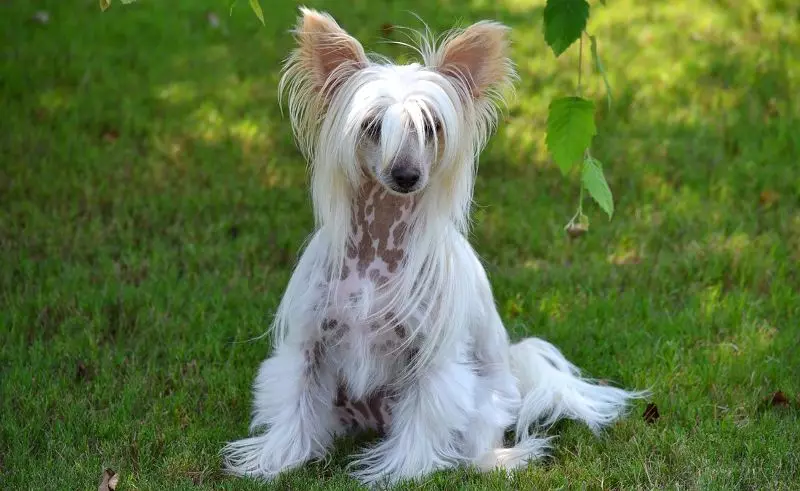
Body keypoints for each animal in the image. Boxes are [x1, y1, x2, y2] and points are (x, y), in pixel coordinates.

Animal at [223, 7, 644, 488]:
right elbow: (293, 409)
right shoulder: (308, 348)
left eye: (431, 127)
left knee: (480, 444)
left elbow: (422, 423)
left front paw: (402, 472)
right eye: (372, 127)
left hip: (485, 403)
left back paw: (502, 460)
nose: (406, 175)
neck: (377, 248)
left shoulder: (431, 362)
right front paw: (272, 462)